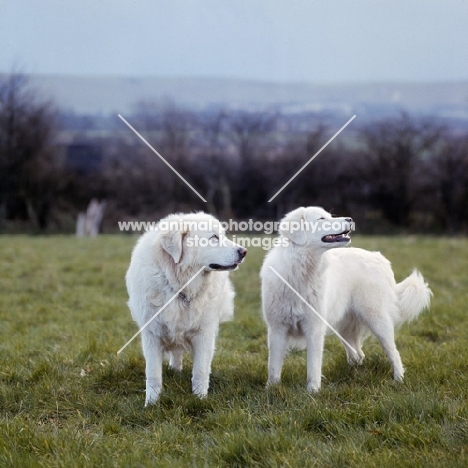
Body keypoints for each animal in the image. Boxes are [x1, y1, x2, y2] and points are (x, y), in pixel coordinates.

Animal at [126, 213, 247, 406]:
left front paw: (200, 399)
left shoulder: (204, 333)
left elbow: (200, 371)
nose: (244, 251)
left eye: (223, 235)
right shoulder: (152, 334)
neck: (180, 286)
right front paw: (151, 404)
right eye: (214, 237)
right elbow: (153, 375)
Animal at [260, 207, 432, 394]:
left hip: (377, 321)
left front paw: (312, 392)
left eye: (329, 216)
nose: (350, 219)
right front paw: (271, 389)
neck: (301, 272)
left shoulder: (314, 329)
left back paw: (398, 380)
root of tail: (378, 257)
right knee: (358, 354)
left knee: (393, 353)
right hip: (345, 329)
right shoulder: (277, 329)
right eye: (321, 219)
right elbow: (273, 367)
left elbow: (313, 365)